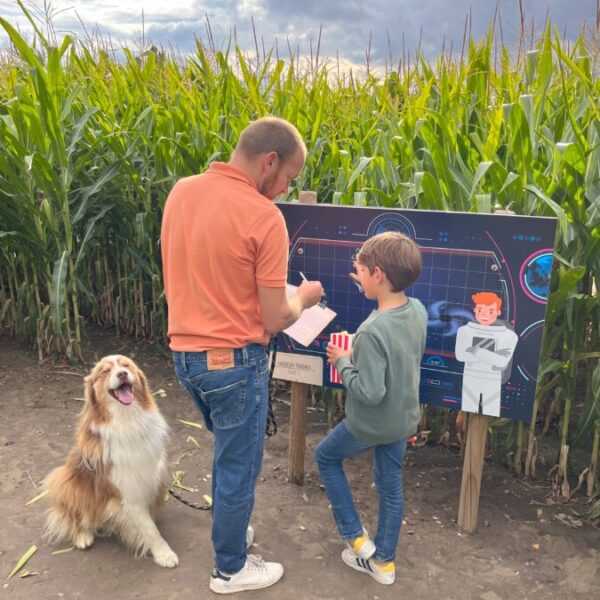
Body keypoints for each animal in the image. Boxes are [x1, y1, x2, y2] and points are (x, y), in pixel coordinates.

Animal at [44, 354, 178, 568]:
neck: (127, 420)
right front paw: (164, 554)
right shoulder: (128, 490)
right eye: (105, 371)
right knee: (73, 516)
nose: (122, 374)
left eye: (126, 365)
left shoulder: (152, 477)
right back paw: (82, 536)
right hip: (64, 481)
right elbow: (149, 528)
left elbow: (148, 518)